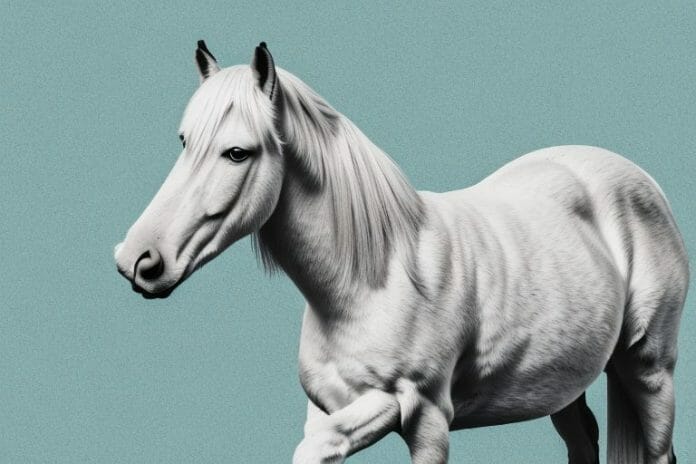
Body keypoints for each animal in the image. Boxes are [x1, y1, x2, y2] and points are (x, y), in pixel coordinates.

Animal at [114, 41, 689, 464]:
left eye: (237, 152)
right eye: (184, 141)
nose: (137, 260)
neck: (373, 281)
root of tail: (640, 179)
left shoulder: (425, 415)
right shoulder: (325, 409)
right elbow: (317, 445)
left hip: (648, 369)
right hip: (560, 382)